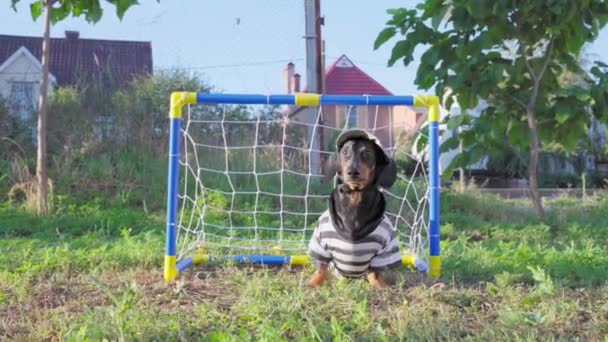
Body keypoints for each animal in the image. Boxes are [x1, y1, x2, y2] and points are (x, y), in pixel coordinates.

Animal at [306, 130, 402, 288]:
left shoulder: (385, 249)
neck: (355, 197)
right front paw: (313, 283)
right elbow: (322, 268)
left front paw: (381, 287)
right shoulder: (320, 244)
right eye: (345, 152)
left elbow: (374, 273)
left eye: (367, 153)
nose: (352, 171)